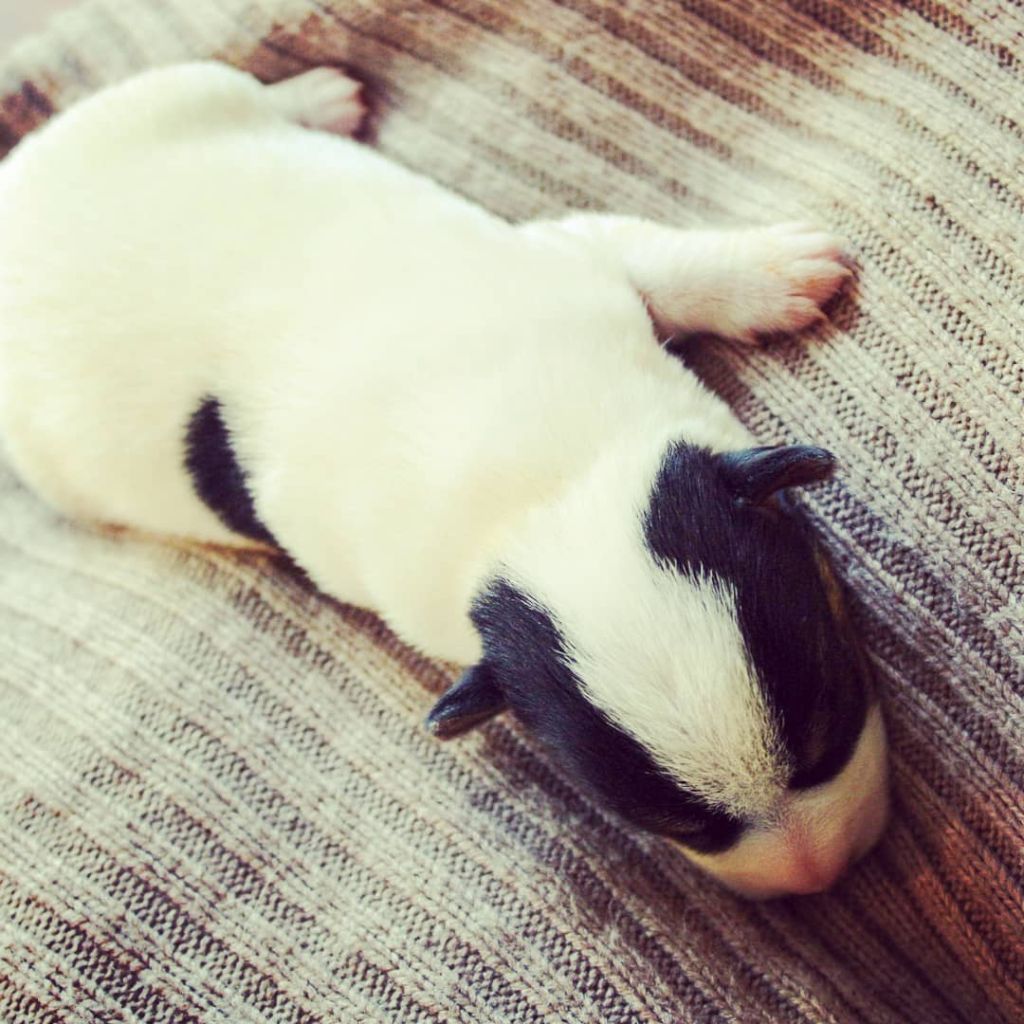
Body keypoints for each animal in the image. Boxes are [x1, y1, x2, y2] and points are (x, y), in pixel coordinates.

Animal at [0, 63, 888, 898]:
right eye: (671, 825)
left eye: (830, 722)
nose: (821, 878)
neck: (542, 486)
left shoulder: (567, 261)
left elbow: (650, 259)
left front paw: (775, 273)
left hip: (159, 97)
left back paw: (315, 98)